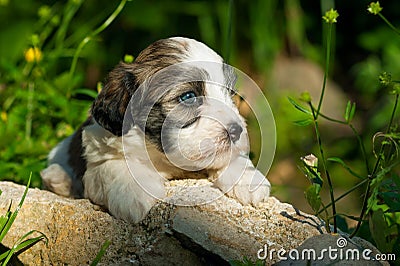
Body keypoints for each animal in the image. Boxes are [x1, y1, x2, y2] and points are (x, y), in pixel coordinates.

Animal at [40, 37, 270, 222]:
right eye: (188, 96)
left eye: (230, 94)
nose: (236, 130)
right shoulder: (100, 149)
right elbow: (113, 165)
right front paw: (132, 195)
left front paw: (248, 178)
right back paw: (58, 179)